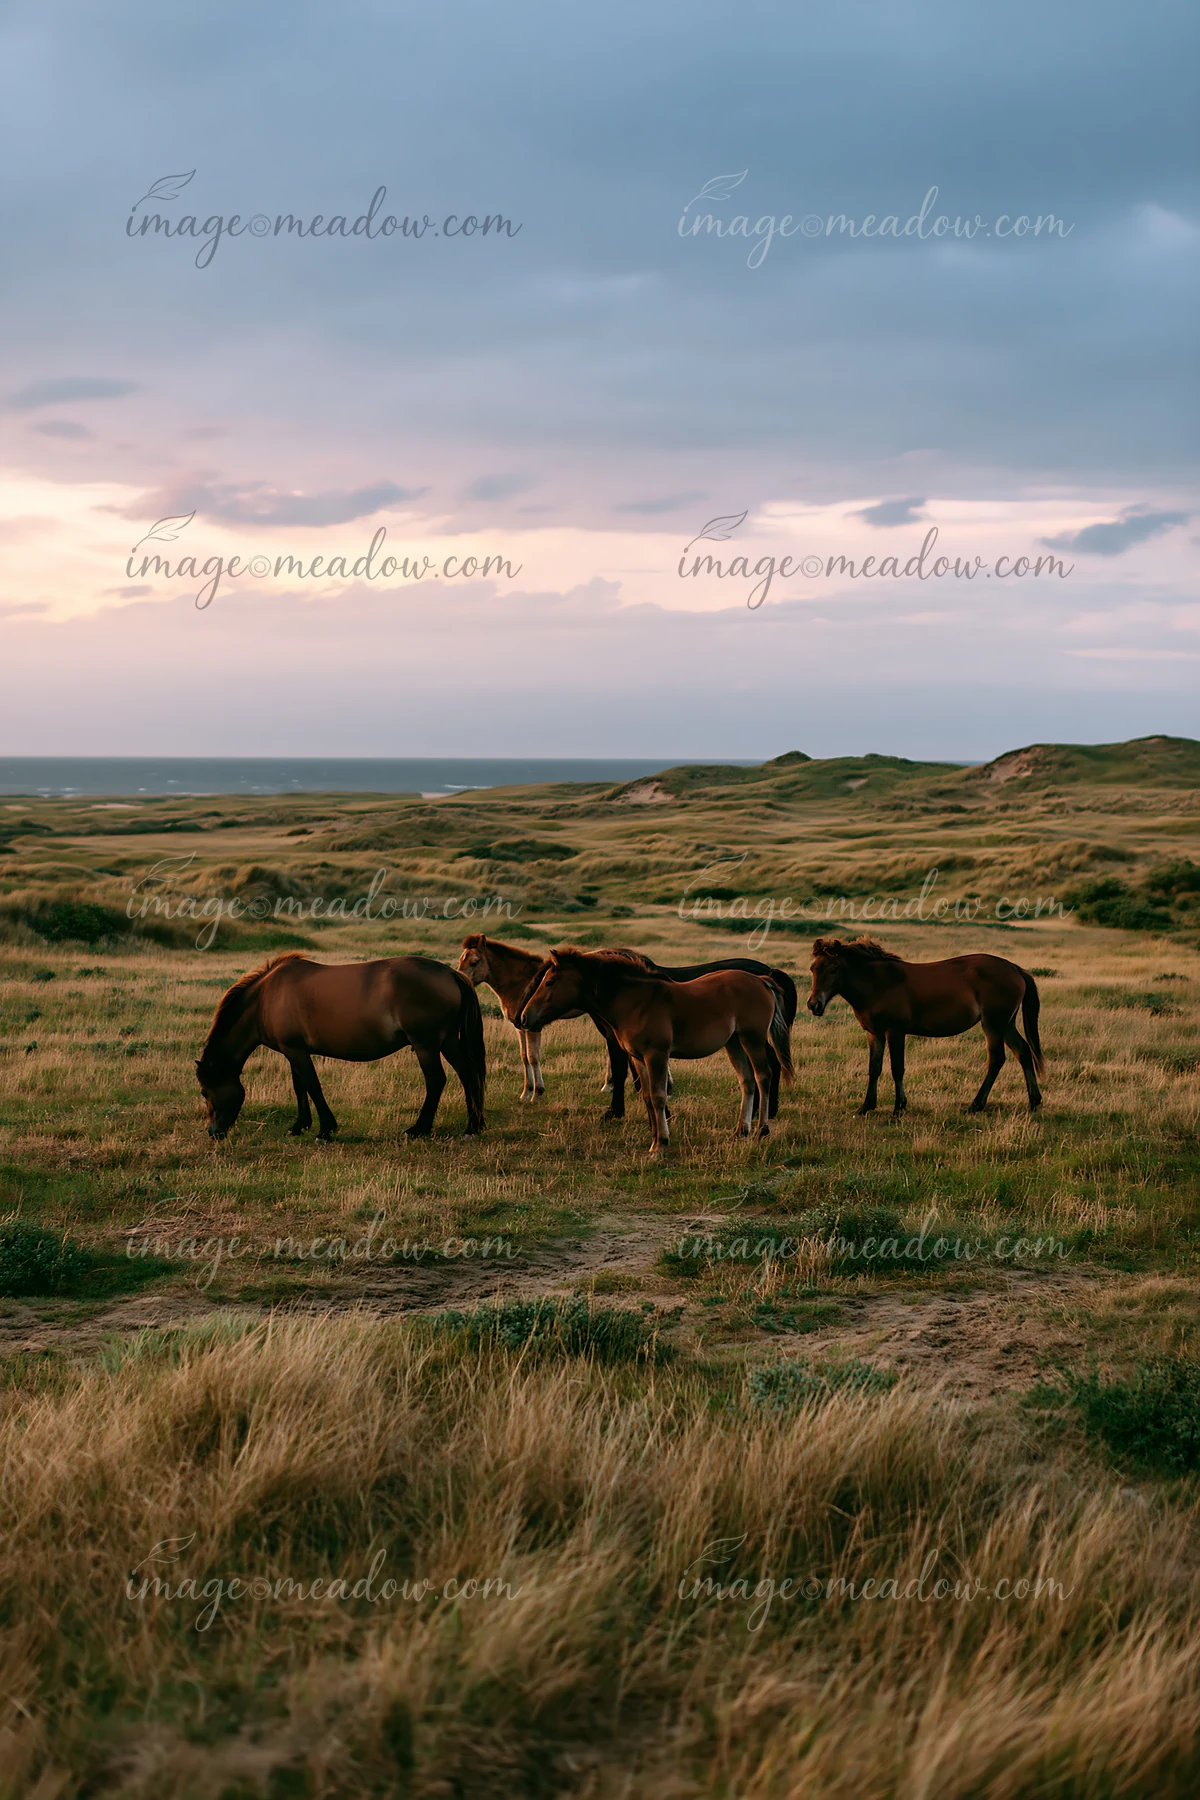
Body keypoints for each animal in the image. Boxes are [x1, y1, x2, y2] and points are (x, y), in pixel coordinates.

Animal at [195, 952, 486, 1142]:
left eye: (204, 1091)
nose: (213, 1132)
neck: (266, 998)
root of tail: (450, 973)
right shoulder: (294, 1051)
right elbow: (300, 1086)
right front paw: (300, 1126)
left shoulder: (296, 1051)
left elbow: (312, 1085)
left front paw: (325, 1130)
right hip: (447, 1041)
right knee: (467, 1074)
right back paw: (473, 1126)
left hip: (426, 1045)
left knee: (436, 1080)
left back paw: (419, 1129)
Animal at [515, 948, 794, 1154]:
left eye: (549, 982)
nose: (524, 1017)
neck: (636, 1000)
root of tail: (763, 980)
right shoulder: (638, 1058)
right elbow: (647, 1096)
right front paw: (654, 1137)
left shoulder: (656, 1055)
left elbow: (659, 1096)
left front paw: (661, 1143)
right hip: (733, 1043)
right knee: (747, 1081)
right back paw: (740, 1130)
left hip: (752, 1039)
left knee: (763, 1076)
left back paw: (762, 1129)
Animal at [806, 937, 1043, 1116]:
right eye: (813, 969)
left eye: (834, 968)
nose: (814, 1005)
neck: (879, 983)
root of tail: (1016, 969)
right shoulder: (875, 1034)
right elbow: (874, 1068)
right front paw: (866, 1106)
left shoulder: (895, 1032)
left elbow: (897, 1068)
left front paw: (898, 1108)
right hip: (1006, 1024)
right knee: (1023, 1052)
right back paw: (1034, 1102)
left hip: (993, 1024)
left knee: (996, 1059)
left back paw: (976, 1104)